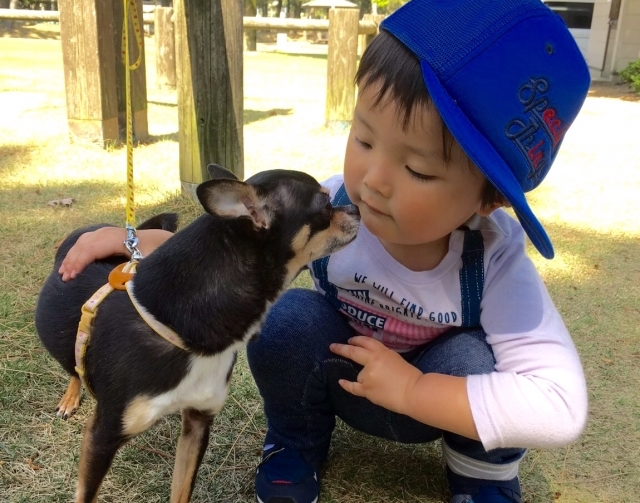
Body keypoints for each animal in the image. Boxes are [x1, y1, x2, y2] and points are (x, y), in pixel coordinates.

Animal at [36, 163, 360, 502]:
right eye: (325, 204)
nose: (356, 208)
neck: (177, 327)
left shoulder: (198, 422)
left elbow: (182, 490)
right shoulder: (102, 437)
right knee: (73, 364)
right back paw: (71, 396)